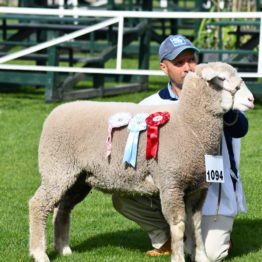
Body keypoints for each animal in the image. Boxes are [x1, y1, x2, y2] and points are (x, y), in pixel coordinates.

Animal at [28, 62, 254, 262]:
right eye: (221, 79)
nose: (251, 99)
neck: (189, 124)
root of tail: (56, 111)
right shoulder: (171, 183)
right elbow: (179, 225)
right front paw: (178, 257)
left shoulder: (198, 187)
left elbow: (196, 226)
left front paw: (202, 257)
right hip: (57, 167)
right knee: (39, 204)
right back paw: (40, 253)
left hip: (79, 178)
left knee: (62, 208)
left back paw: (64, 249)